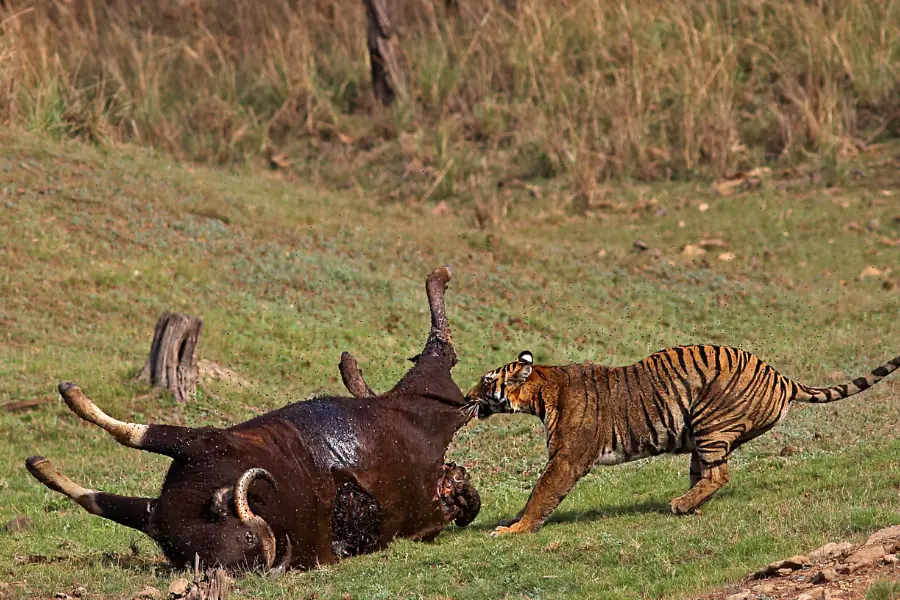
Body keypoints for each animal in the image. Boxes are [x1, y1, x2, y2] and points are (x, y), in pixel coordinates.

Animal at [466, 346, 900, 536]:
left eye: (487, 382)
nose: (466, 396)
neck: (543, 390)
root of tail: (781, 377)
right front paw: (512, 522)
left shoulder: (566, 459)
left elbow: (540, 494)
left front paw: (514, 530)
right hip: (703, 436)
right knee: (708, 475)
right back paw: (688, 505)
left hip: (710, 422)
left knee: (720, 475)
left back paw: (679, 505)